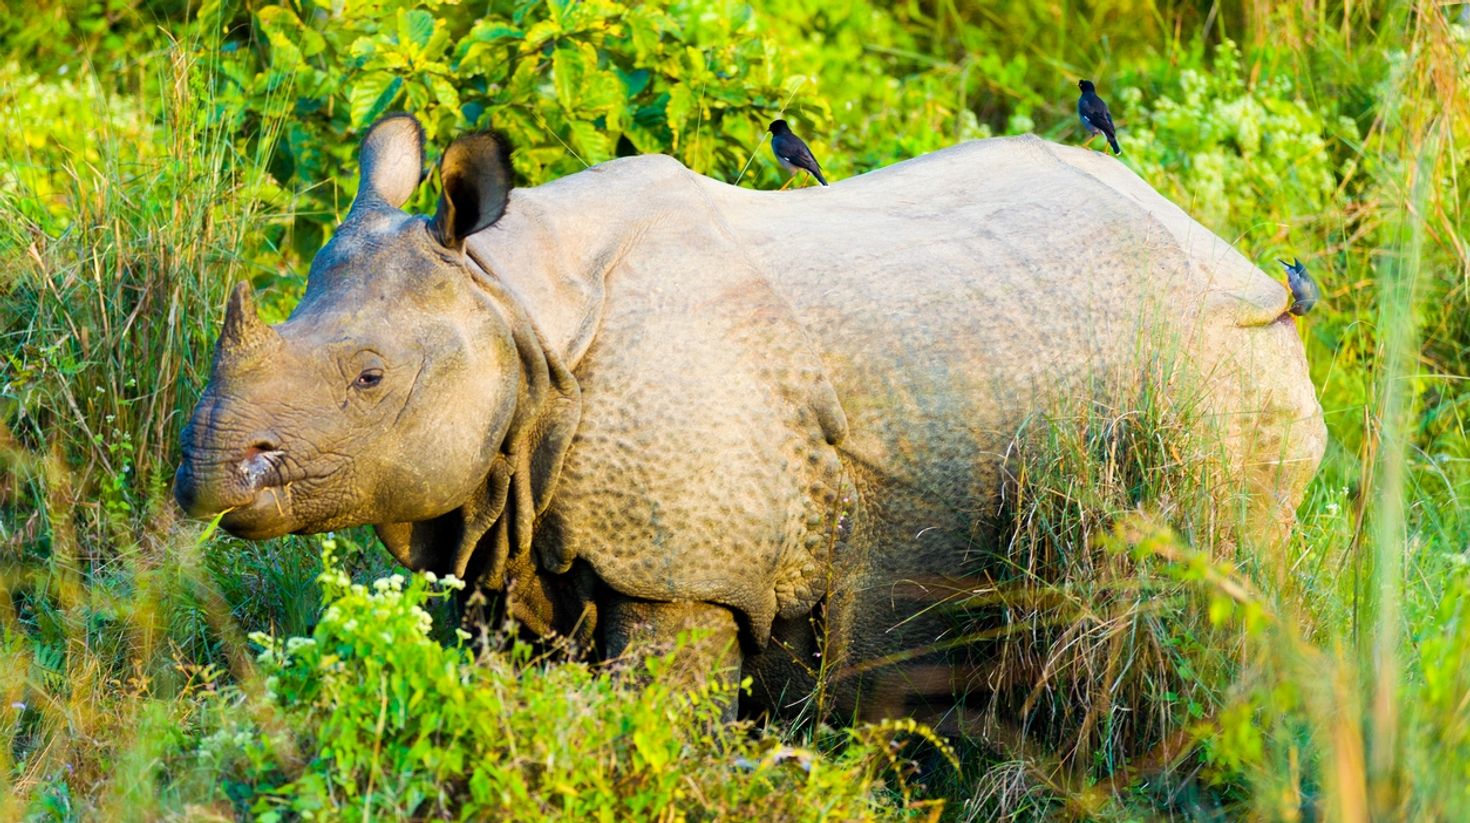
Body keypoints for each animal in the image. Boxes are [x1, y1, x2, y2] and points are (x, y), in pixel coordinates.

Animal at [175, 115, 1325, 719]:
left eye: (370, 378)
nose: (204, 474)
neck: (514, 305)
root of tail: (1230, 252)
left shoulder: (688, 565)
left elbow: (654, 722)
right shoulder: (510, 525)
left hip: (1224, 368)